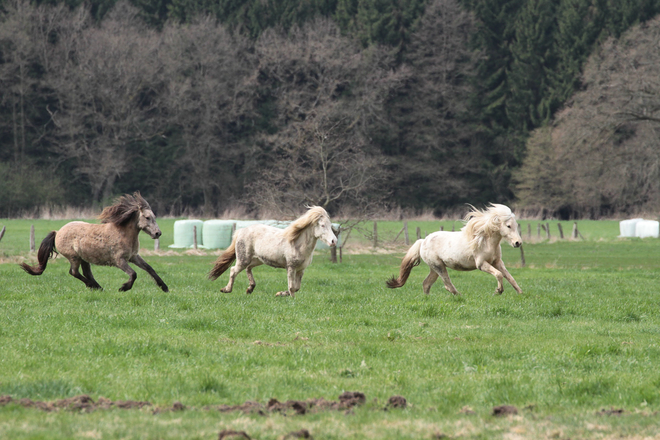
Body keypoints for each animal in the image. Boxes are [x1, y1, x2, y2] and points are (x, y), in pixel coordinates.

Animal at [21, 192, 169, 292]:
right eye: (147, 217)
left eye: (154, 216)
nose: (158, 233)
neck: (123, 233)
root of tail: (58, 232)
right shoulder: (119, 260)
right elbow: (133, 274)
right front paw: (123, 288)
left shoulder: (133, 257)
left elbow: (149, 268)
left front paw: (164, 287)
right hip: (74, 257)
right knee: (74, 272)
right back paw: (94, 286)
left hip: (84, 258)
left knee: (85, 273)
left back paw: (97, 287)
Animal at [210, 207, 338, 298]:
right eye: (322, 225)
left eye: (330, 225)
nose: (334, 241)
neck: (297, 244)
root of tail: (241, 231)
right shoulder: (291, 267)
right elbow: (292, 287)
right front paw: (289, 298)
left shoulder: (301, 269)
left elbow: (296, 287)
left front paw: (279, 294)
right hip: (243, 259)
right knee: (233, 270)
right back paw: (226, 290)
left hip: (257, 260)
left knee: (248, 268)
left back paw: (250, 289)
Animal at [386, 204, 520, 296]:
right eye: (508, 226)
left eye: (516, 225)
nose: (518, 243)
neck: (485, 241)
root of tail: (423, 241)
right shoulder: (481, 264)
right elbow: (499, 274)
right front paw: (498, 291)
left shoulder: (497, 262)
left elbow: (509, 277)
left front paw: (520, 293)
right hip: (439, 266)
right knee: (447, 285)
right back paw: (460, 296)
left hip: (434, 268)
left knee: (426, 283)